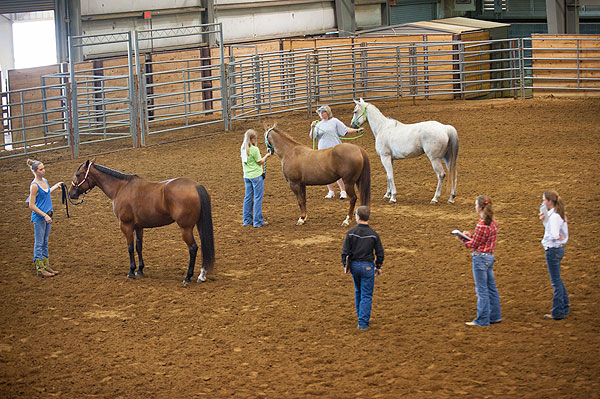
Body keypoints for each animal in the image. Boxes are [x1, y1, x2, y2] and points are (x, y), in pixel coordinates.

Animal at [67, 159, 214, 284]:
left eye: (78, 174)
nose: (70, 193)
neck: (120, 188)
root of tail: (196, 186)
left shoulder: (126, 225)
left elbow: (130, 247)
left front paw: (131, 272)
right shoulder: (138, 227)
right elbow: (139, 246)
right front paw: (140, 270)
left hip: (185, 228)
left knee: (193, 248)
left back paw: (188, 277)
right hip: (197, 225)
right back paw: (202, 275)